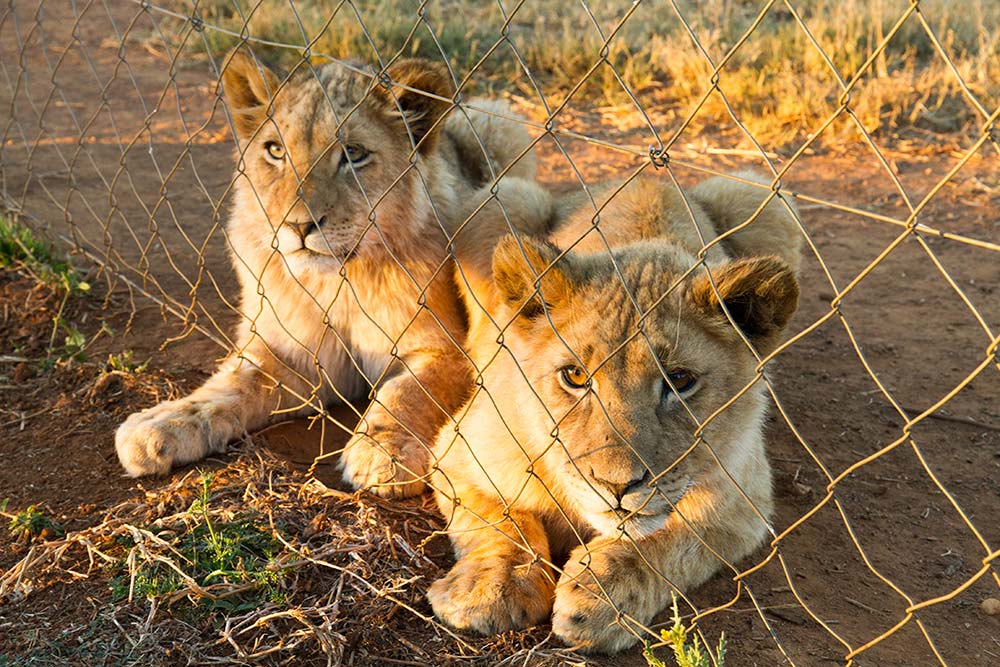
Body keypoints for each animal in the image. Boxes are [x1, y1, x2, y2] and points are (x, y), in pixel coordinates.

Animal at [114, 49, 551, 498]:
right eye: (275, 150)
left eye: (353, 154)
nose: (298, 226)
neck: (337, 283)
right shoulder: (292, 353)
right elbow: (233, 383)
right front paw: (161, 423)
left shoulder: (448, 349)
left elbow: (408, 391)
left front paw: (385, 450)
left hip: (495, 120)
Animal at [427, 173, 802, 652]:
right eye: (574, 375)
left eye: (679, 381)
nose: (616, 486)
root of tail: (651, 177)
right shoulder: (457, 449)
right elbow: (501, 520)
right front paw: (491, 587)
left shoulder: (744, 500)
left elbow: (675, 533)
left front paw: (604, 594)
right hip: (508, 196)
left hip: (763, 197)